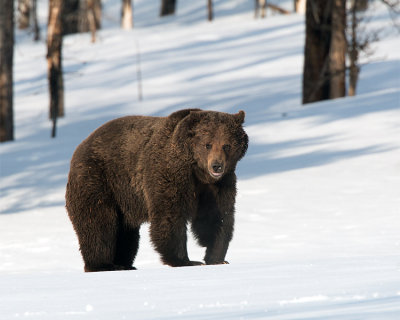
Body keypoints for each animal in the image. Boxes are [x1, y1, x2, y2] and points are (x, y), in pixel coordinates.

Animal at [65, 109, 247, 272]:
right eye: (207, 144)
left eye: (227, 145)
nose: (216, 166)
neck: (198, 171)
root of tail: (79, 148)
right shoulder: (169, 172)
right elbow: (170, 214)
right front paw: (185, 260)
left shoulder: (219, 185)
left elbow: (218, 217)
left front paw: (217, 258)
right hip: (100, 180)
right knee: (99, 224)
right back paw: (103, 265)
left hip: (123, 201)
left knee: (125, 234)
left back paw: (124, 264)